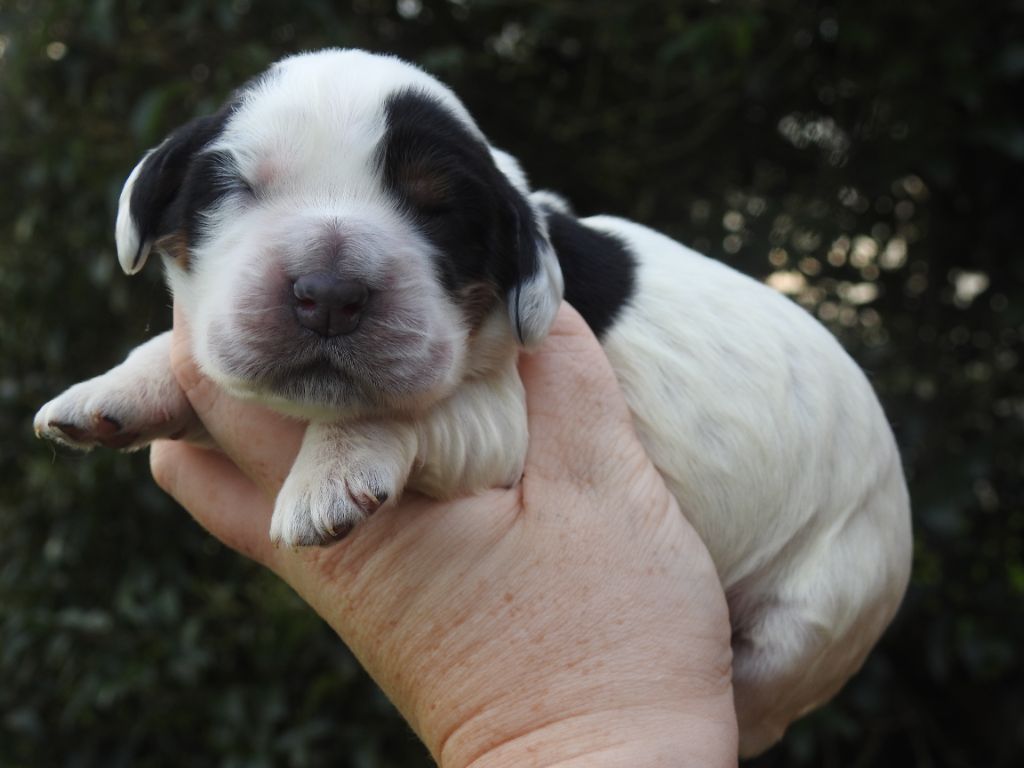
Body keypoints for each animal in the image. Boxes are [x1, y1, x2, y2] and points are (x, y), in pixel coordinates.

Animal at [34, 49, 913, 757]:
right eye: (234, 189)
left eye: (439, 211)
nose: (329, 295)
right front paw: (114, 389)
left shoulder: (502, 415)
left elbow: (404, 407)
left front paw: (329, 472)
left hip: (817, 609)